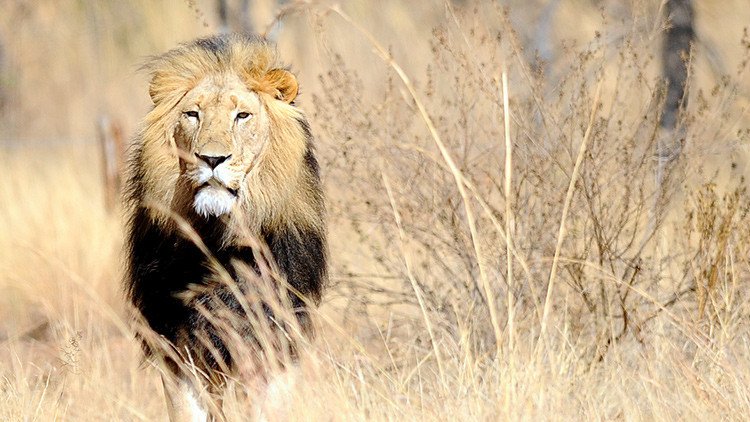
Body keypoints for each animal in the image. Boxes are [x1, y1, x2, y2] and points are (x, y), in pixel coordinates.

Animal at [123, 34, 326, 421]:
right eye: (193, 114)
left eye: (242, 116)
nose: (212, 159)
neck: (216, 239)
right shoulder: (175, 342)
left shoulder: (272, 339)